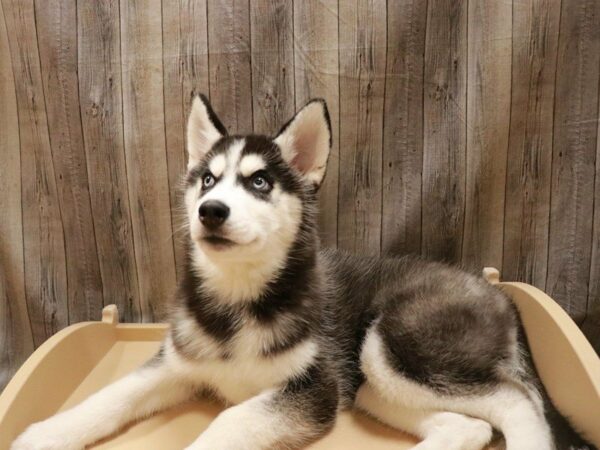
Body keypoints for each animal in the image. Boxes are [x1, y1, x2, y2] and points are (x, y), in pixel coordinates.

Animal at [11, 96, 592, 450]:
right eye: (207, 179)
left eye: (260, 182)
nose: (210, 211)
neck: (239, 302)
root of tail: (495, 290)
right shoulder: (176, 363)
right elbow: (108, 397)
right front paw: (40, 434)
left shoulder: (311, 392)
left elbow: (227, 421)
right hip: (368, 383)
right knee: (469, 426)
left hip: (396, 344)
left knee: (518, 401)